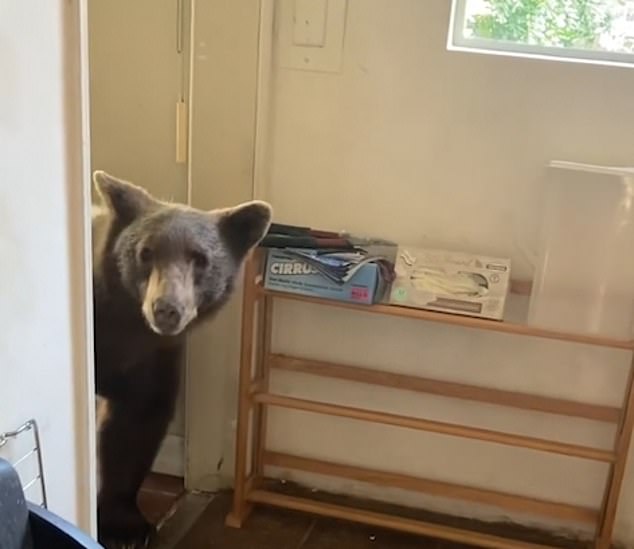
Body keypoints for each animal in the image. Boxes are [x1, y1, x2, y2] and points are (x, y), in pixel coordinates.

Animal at [90, 169, 272, 544]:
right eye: (145, 252)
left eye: (200, 258)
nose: (167, 309)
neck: (124, 325)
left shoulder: (153, 356)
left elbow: (135, 422)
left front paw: (125, 524)